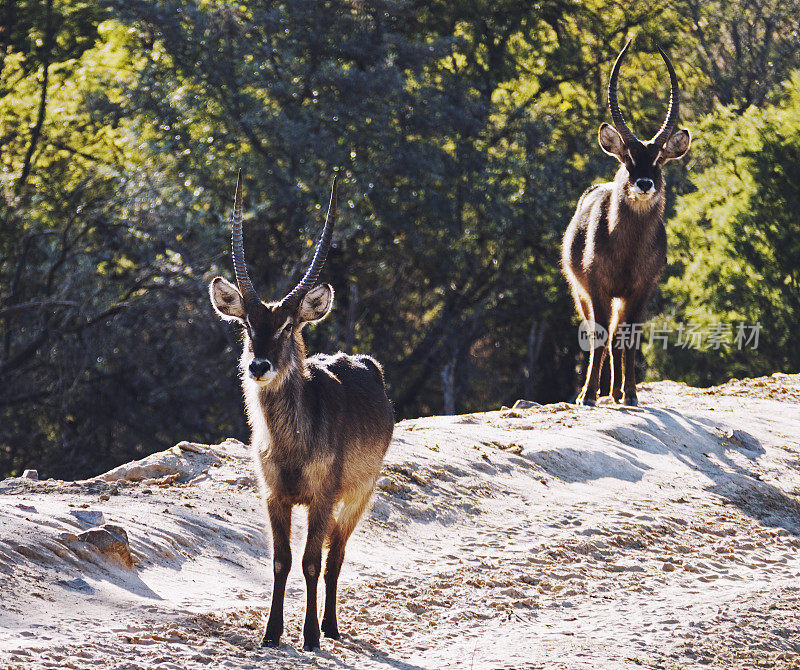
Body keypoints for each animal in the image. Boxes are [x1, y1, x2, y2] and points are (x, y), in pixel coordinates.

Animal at [208, 172, 392, 652]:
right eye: (247, 325)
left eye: (288, 326)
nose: (258, 366)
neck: (290, 444)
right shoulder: (275, 496)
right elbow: (280, 561)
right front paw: (271, 634)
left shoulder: (322, 497)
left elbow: (310, 562)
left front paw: (308, 636)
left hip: (359, 495)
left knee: (335, 557)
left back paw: (329, 626)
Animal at [564, 43, 688, 410]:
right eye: (627, 158)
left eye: (659, 159)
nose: (644, 183)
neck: (628, 250)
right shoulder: (596, 287)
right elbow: (599, 335)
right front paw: (588, 396)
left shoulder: (642, 289)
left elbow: (629, 338)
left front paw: (631, 394)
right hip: (580, 292)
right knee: (600, 333)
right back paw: (600, 392)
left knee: (619, 336)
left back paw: (618, 392)